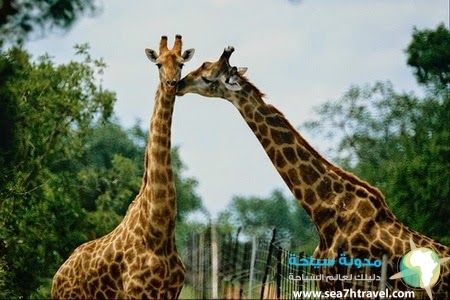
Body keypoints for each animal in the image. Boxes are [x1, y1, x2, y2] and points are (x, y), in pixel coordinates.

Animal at [51, 35, 195, 300]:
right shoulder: (137, 293)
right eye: (158, 64)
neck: (159, 234)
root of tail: (56, 278)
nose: (171, 84)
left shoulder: (171, 292)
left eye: (181, 63)